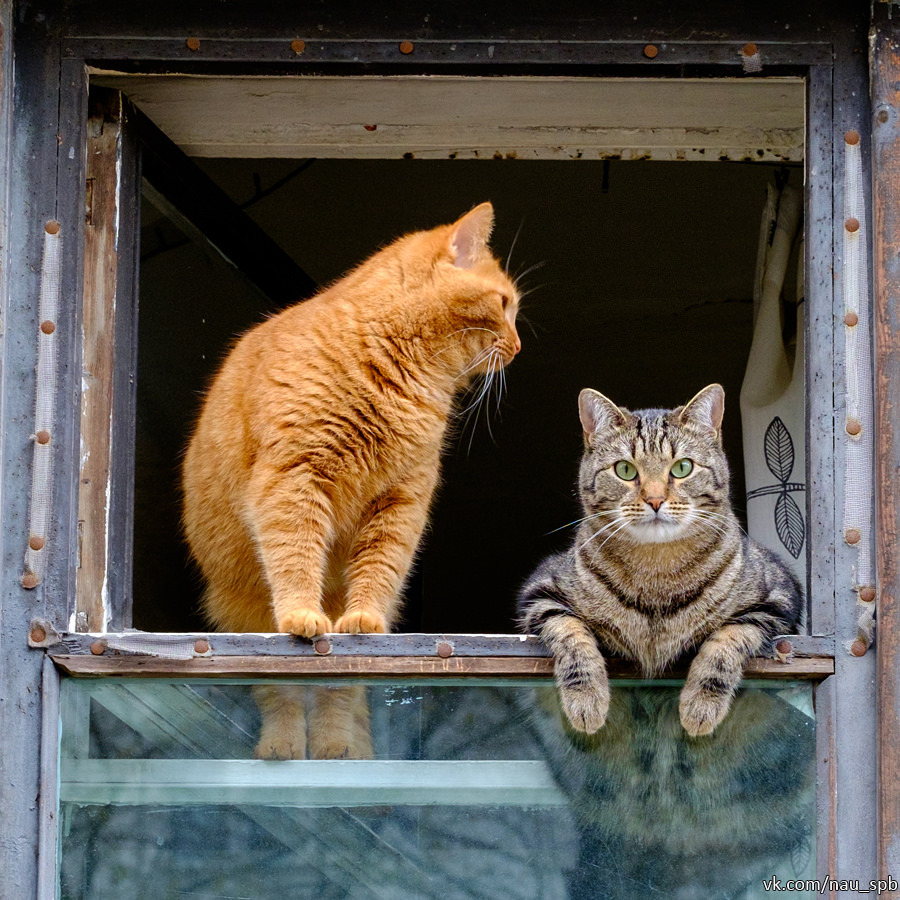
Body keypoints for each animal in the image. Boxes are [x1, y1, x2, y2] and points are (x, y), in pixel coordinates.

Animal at [183, 202, 520, 752]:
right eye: (505, 303)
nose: (517, 346)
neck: (406, 374)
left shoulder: (399, 504)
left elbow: (378, 572)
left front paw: (366, 618)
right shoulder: (294, 480)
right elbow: (296, 556)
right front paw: (302, 613)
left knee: (340, 694)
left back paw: (338, 745)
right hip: (240, 614)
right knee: (280, 694)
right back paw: (282, 746)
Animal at [520, 384, 800, 736]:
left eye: (682, 467)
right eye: (625, 470)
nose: (655, 500)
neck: (657, 570)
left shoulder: (777, 598)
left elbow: (726, 641)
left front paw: (701, 706)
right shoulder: (541, 593)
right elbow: (572, 636)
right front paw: (586, 701)